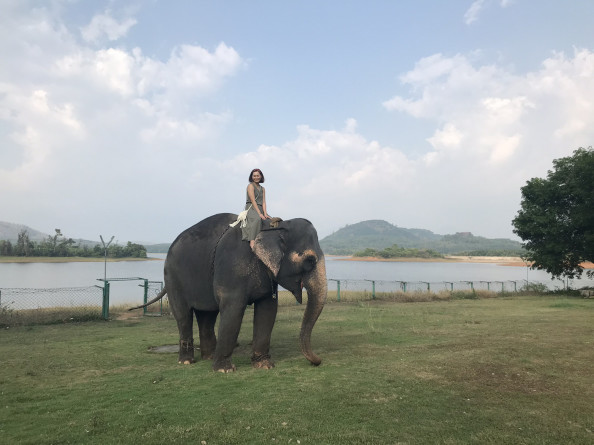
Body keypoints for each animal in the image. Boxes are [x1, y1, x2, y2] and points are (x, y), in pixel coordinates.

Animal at [134, 212, 326, 372]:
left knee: (207, 315)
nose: (318, 361)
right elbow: (233, 311)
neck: (274, 226)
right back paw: (187, 362)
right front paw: (224, 371)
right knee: (183, 316)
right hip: (173, 279)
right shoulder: (232, 267)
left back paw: (209, 357)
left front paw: (264, 366)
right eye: (309, 260)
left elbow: (268, 310)